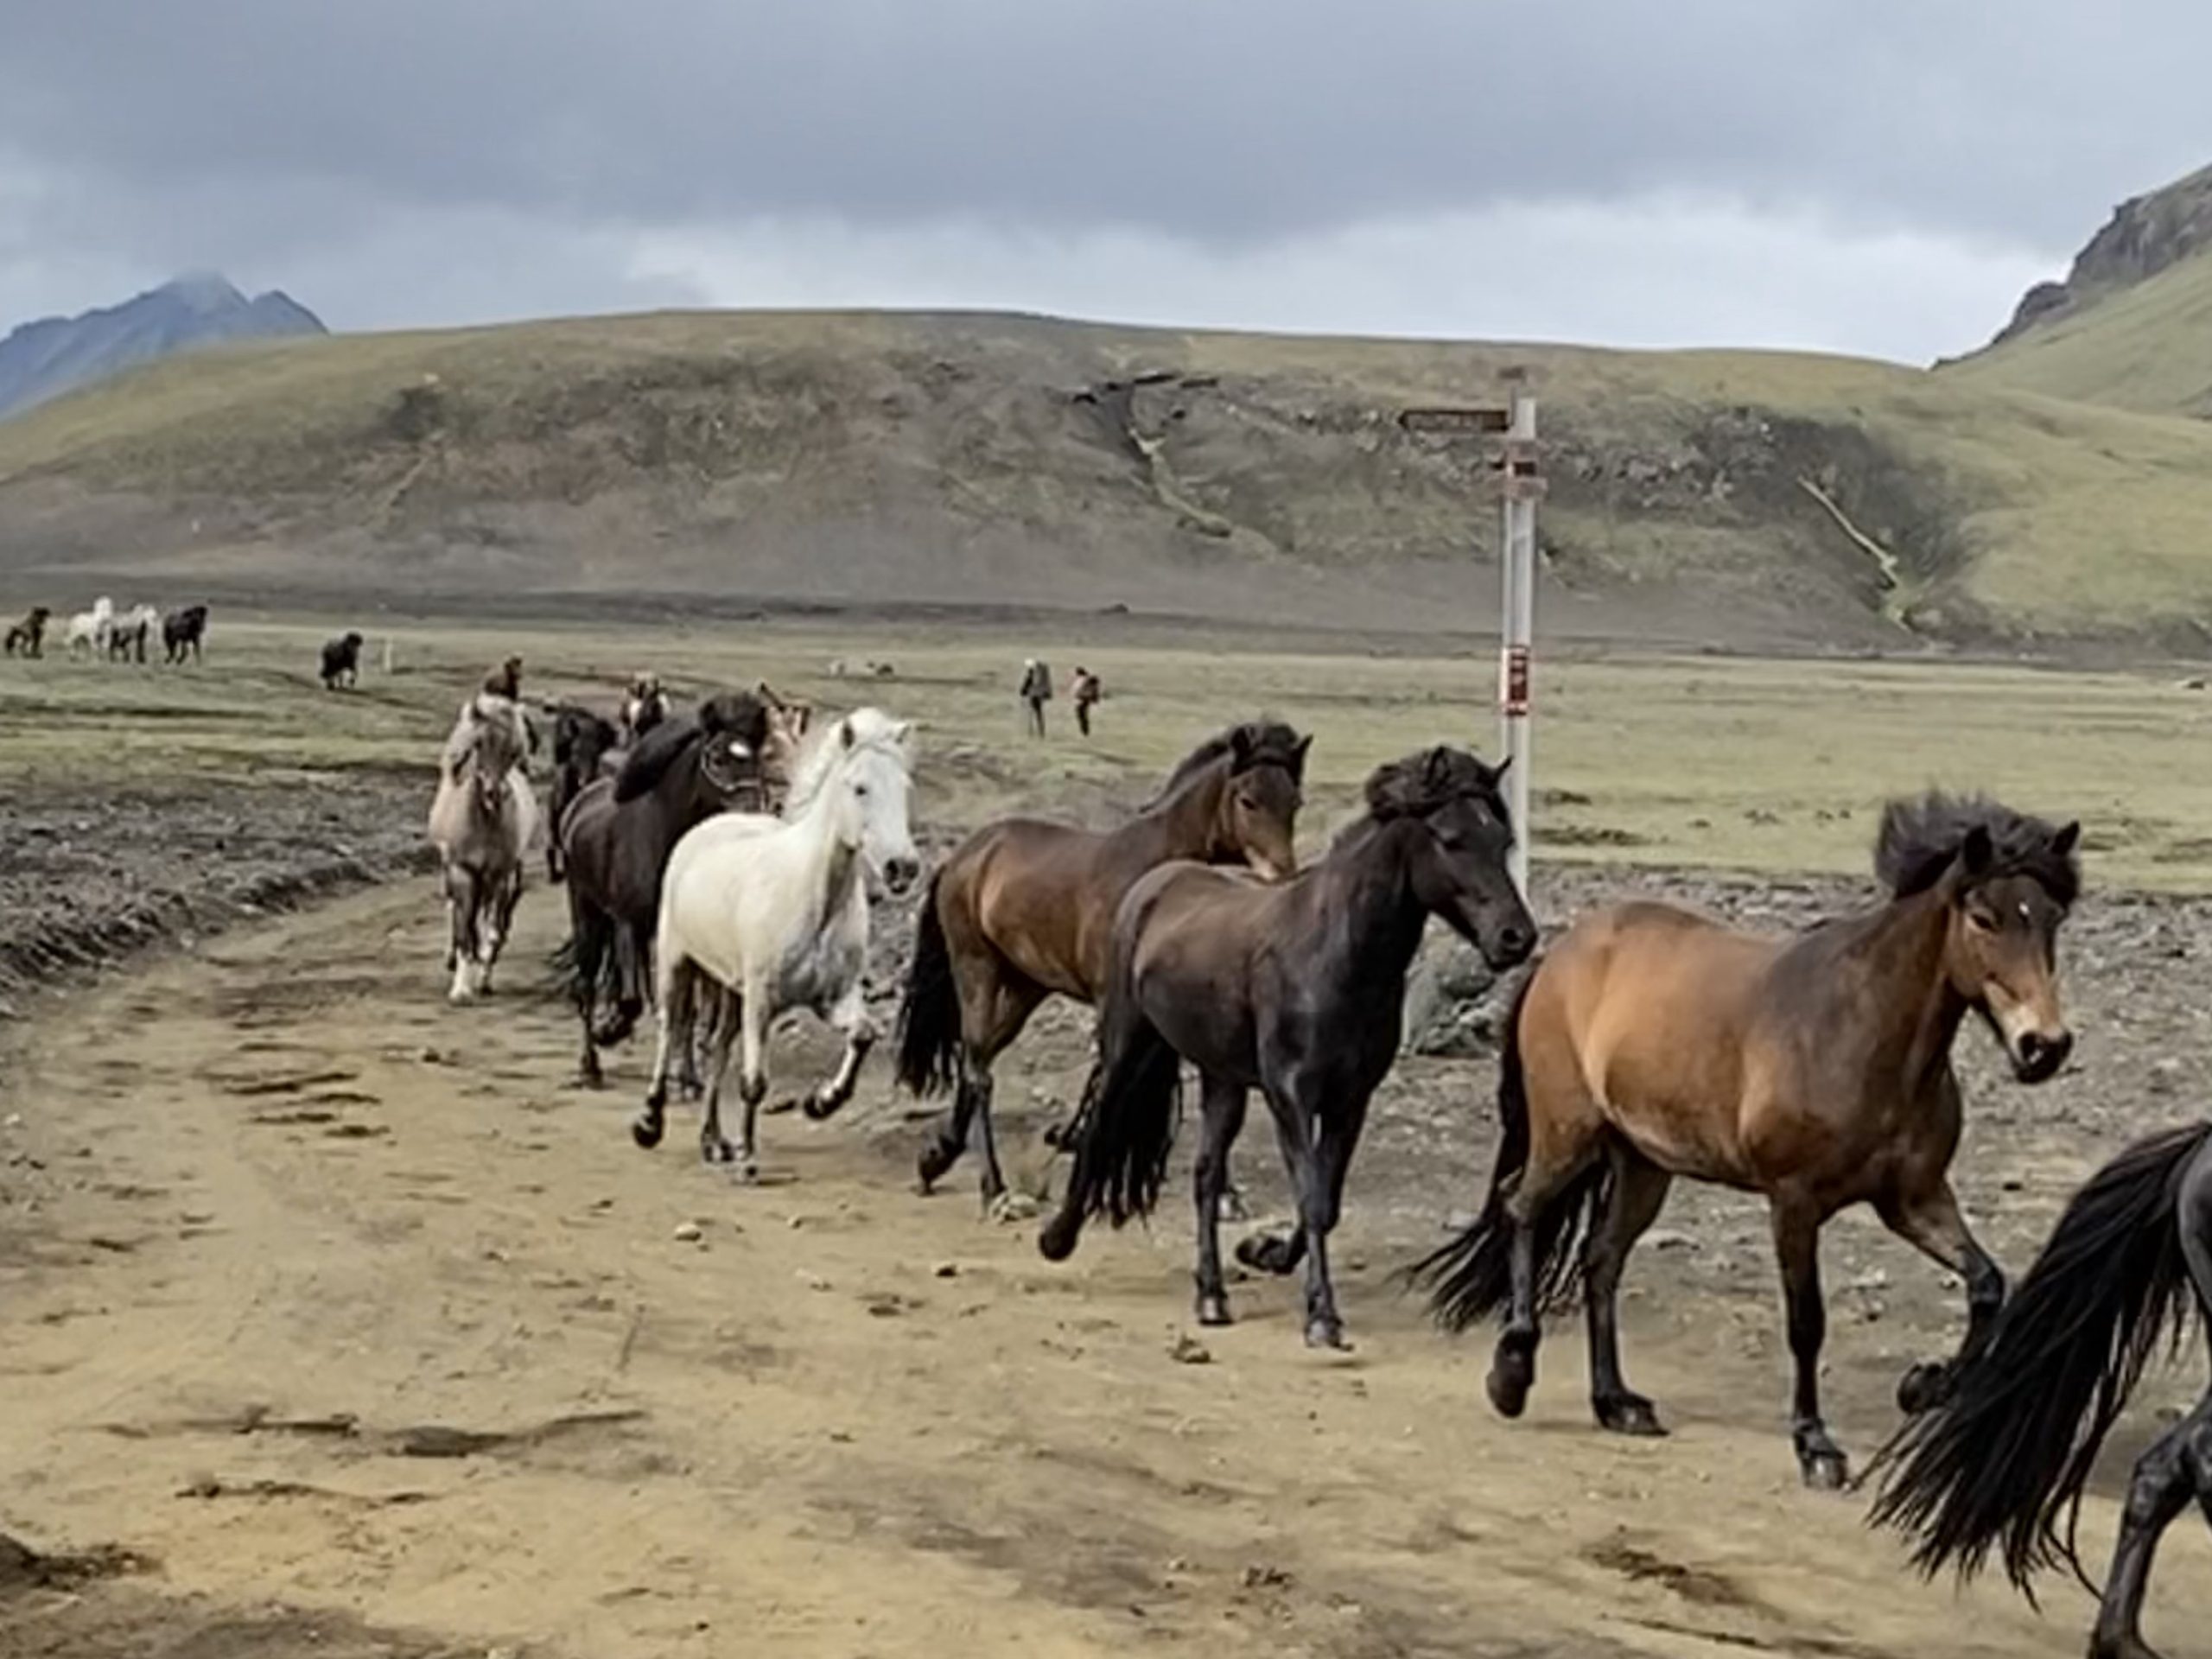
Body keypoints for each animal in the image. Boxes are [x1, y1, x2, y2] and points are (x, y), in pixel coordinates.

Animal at [427, 693, 540, 1004]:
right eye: (478, 744)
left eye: (514, 750)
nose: (495, 794)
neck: (483, 821)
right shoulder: (462, 871)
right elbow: (464, 926)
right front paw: (461, 989)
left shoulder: (498, 874)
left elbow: (492, 929)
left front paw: (484, 977)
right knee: (455, 911)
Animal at [559, 690, 778, 1086]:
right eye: (717, 758)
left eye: (756, 758)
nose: (756, 809)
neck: (661, 838)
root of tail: (577, 807)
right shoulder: (627, 921)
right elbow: (633, 1000)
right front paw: (609, 1030)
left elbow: (684, 1009)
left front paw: (687, 1076)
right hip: (586, 909)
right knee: (587, 983)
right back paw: (591, 1064)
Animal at [636, 710, 921, 1176]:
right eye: (860, 787)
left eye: (904, 787)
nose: (903, 868)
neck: (814, 899)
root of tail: (704, 829)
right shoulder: (762, 1000)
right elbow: (754, 1082)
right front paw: (748, 1159)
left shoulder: (832, 998)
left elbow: (863, 1034)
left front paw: (822, 1102)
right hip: (679, 962)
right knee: (669, 1029)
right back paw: (649, 1123)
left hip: (731, 989)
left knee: (717, 1049)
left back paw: (712, 1140)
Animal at [1039, 747, 1536, 1349]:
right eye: (1451, 838)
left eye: (1503, 840)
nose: (1517, 938)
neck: (1336, 957)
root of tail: (1157, 883)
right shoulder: (1290, 1095)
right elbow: (1312, 1197)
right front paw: (1322, 1316)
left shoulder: (1350, 1100)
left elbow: (1326, 1200)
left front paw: (1265, 1253)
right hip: (1127, 1046)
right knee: (1101, 1129)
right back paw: (1058, 1239)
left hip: (1223, 1079)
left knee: (1206, 1174)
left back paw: (1212, 1296)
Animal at [1413, 792, 2080, 1489]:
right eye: (1984, 918)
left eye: (2052, 918)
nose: (2045, 1046)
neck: (1862, 1033)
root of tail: (1561, 955)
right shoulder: (1794, 1202)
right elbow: (1807, 1323)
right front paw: (1816, 1445)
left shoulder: (1913, 1200)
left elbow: (1986, 1285)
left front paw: (1922, 1385)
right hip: (1568, 1134)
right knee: (1521, 1208)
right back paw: (1511, 1373)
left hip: (1643, 1164)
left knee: (1601, 1259)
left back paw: (1617, 1402)